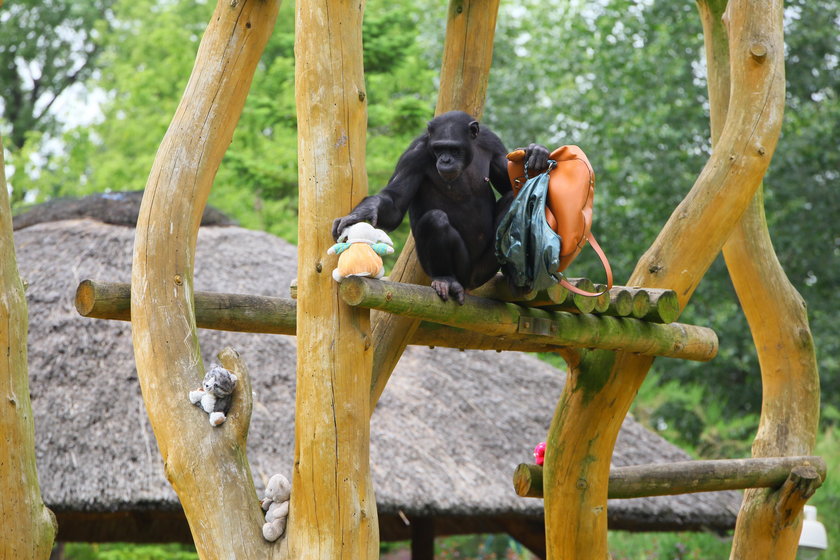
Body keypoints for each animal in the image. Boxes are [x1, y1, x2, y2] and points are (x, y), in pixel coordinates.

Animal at [332, 110, 548, 306]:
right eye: (439, 148)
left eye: (454, 149)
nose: (445, 160)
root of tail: (469, 284)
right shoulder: (413, 156)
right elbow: (395, 202)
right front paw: (362, 212)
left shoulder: (492, 143)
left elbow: (510, 183)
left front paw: (536, 153)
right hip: (459, 270)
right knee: (435, 220)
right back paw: (446, 280)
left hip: (486, 267)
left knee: (513, 199)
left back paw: (514, 272)